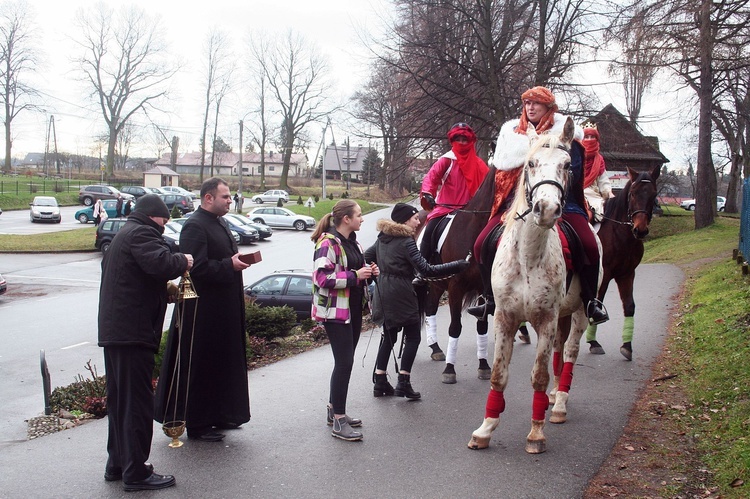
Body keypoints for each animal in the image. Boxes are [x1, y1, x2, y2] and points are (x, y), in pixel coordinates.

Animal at [418, 166, 500, 384]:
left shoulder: (481, 289)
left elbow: (482, 326)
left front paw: (483, 366)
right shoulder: (456, 287)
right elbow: (455, 327)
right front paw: (449, 370)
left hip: (437, 284)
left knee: (430, 308)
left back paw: (435, 348)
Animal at [584, 166, 660, 362]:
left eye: (654, 194)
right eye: (633, 193)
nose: (640, 230)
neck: (618, 232)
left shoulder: (627, 274)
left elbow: (629, 306)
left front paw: (627, 346)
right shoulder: (604, 275)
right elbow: (598, 302)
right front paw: (593, 342)